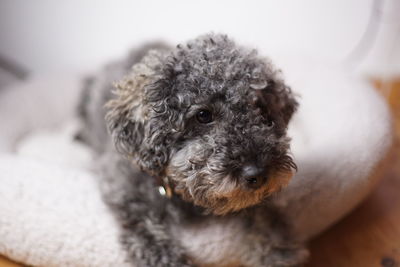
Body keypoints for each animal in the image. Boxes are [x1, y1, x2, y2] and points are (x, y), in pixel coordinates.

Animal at [79, 34, 310, 267]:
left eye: (261, 109)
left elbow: (268, 226)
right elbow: (148, 236)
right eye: (203, 115)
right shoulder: (127, 195)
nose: (258, 174)